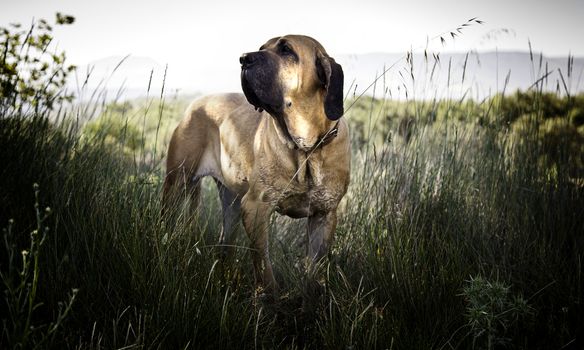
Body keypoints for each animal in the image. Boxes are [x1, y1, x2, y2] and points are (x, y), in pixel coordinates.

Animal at [162, 34, 350, 292]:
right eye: (262, 47)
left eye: (286, 50)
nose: (243, 58)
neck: (306, 150)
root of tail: (195, 103)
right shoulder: (255, 208)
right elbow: (264, 266)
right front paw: (269, 298)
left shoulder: (324, 216)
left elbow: (314, 271)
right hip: (176, 184)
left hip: (231, 204)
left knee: (225, 246)